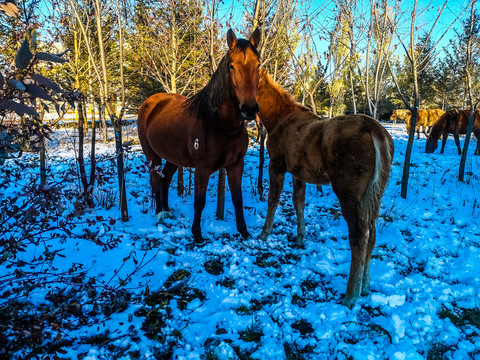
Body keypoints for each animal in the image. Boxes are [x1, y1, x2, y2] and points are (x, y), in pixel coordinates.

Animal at [137, 29, 260, 243]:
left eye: (258, 65)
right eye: (231, 66)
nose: (249, 109)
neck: (220, 124)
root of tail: (151, 102)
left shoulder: (236, 165)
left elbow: (238, 199)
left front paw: (244, 231)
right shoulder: (202, 169)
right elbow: (199, 201)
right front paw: (197, 234)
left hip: (173, 157)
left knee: (165, 180)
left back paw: (167, 211)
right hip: (152, 155)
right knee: (156, 180)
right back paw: (160, 215)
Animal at [256, 71, 396, 310]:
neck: (276, 119)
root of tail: (377, 133)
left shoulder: (276, 165)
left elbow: (273, 200)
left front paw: (265, 233)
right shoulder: (298, 172)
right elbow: (298, 202)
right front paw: (300, 237)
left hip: (349, 192)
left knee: (359, 234)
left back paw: (351, 295)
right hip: (375, 194)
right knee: (372, 232)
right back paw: (365, 285)